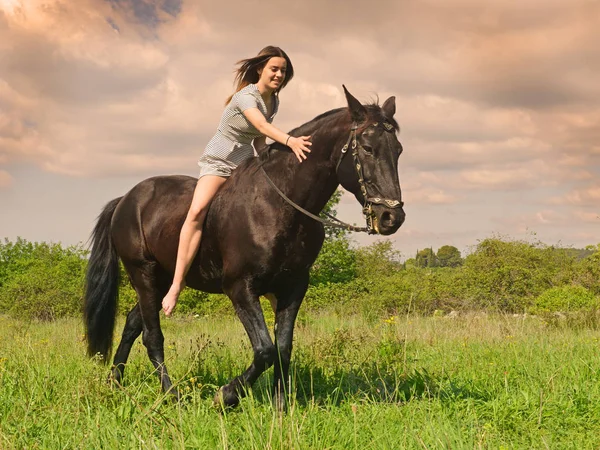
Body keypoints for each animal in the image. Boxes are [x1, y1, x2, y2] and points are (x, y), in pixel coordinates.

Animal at [83, 86, 404, 410]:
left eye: (398, 150)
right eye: (367, 148)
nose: (392, 217)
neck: (281, 204)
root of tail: (125, 200)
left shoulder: (293, 286)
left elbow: (283, 347)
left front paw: (280, 406)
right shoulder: (240, 287)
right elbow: (264, 350)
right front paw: (225, 395)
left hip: (162, 280)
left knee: (132, 324)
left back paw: (115, 383)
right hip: (143, 274)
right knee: (152, 336)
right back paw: (171, 395)